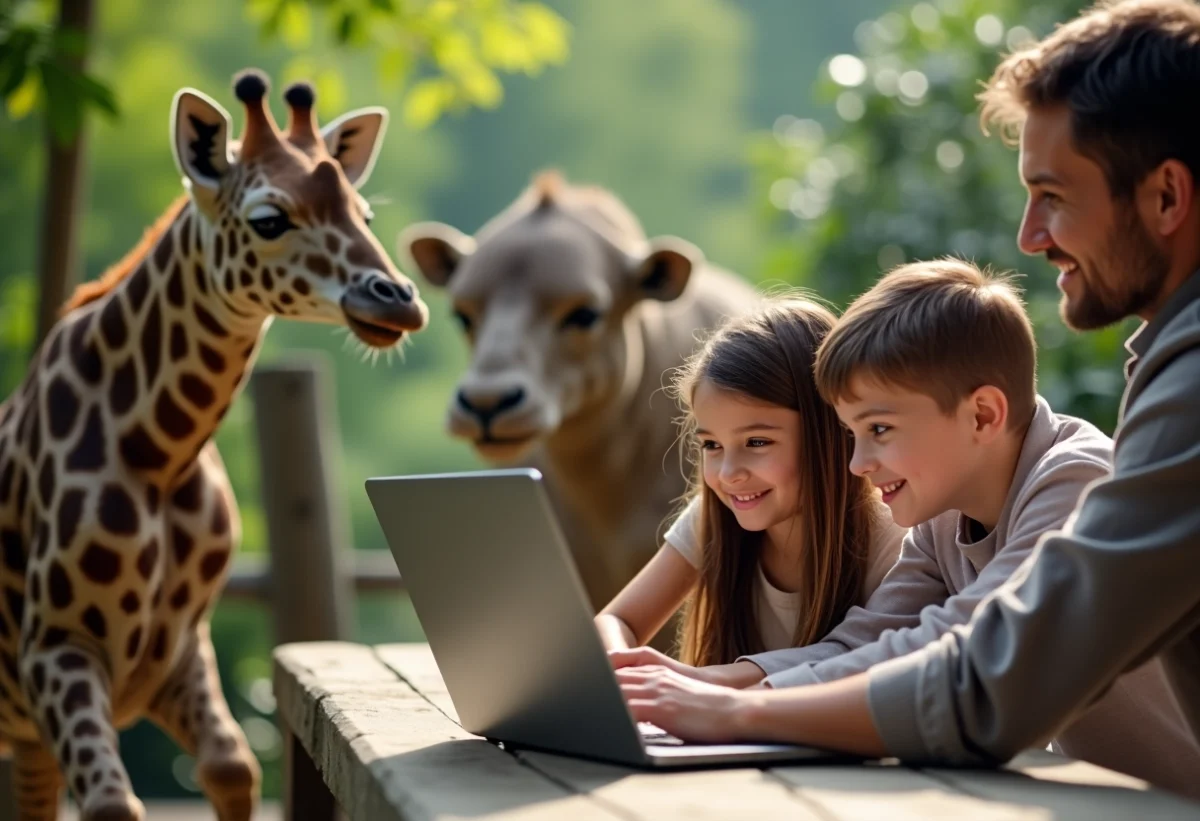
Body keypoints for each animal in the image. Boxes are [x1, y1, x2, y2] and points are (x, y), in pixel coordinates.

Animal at [0, 69, 427, 820]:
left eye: (365, 216)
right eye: (269, 218)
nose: (399, 298)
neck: (159, 450)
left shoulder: (178, 652)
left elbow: (231, 767)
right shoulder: (57, 647)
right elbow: (115, 804)